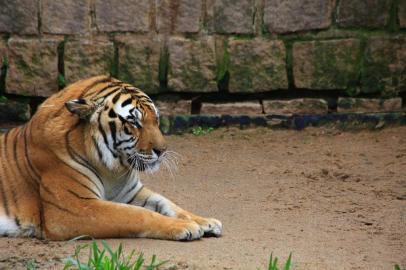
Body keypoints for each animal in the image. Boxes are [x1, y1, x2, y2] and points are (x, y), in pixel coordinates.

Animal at [0, 74, 222, 240]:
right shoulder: (73, 208)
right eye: (134, 123)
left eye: (156, 119)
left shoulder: (130, 192)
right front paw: (186, 226)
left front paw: (205, 221)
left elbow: (167, 203)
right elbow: (138, 215)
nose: (162, 150)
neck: (113, 170)